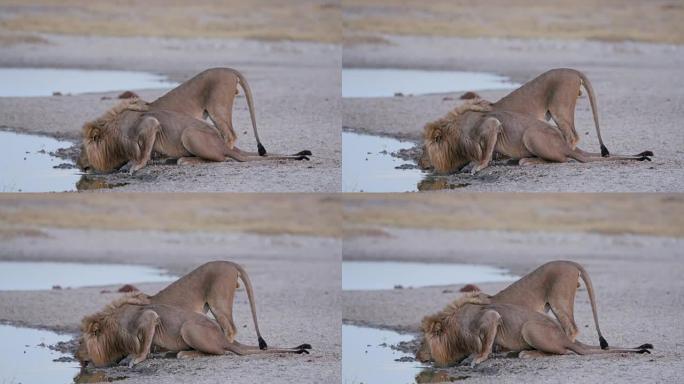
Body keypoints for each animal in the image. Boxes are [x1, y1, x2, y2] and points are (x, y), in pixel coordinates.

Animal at [75, 294, 310, 368]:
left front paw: (136, 359)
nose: (76, 356)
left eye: (80, 342)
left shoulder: (149, 317)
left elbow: (143, 346)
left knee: (219, 352)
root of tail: (224, 337)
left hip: (188, 327)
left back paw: (183, 354)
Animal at [420, 294, 648, 366]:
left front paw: (478, 358)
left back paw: (527, 354)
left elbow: (485, 345)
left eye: (422, 342)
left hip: (530, 328)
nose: (417, 355)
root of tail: (565, 336)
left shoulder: (491, 317)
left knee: (563, 352)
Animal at [422, 102, 652, 174]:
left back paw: (526, 160)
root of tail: (565, 144)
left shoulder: (491, 125)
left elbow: (486, 152)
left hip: (531, 134)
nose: (421, 163)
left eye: (424, 150)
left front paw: (478, 166)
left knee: (561, 160)